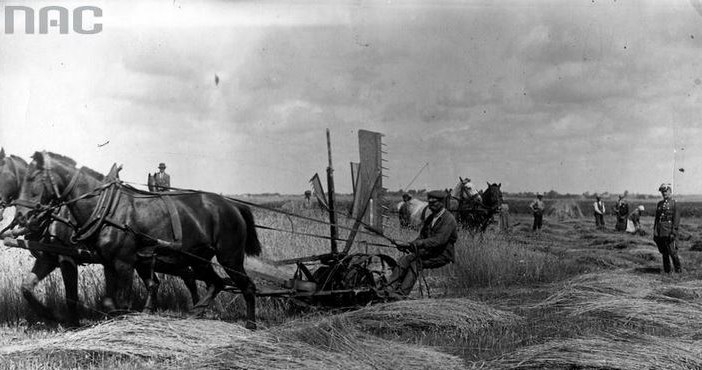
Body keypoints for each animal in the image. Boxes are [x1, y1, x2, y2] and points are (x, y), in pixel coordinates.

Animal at [14, 152, 264, 328]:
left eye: (32, 179)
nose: (21, 217)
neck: (106, 208)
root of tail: (233, 205)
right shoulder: (108, 262)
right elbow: (109, 301)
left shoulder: (122, 262)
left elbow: (118, 300)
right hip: (199, 258)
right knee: (215, 283)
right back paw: (195, 313)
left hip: (229, 256)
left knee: (246, 286)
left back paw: (250, 324)